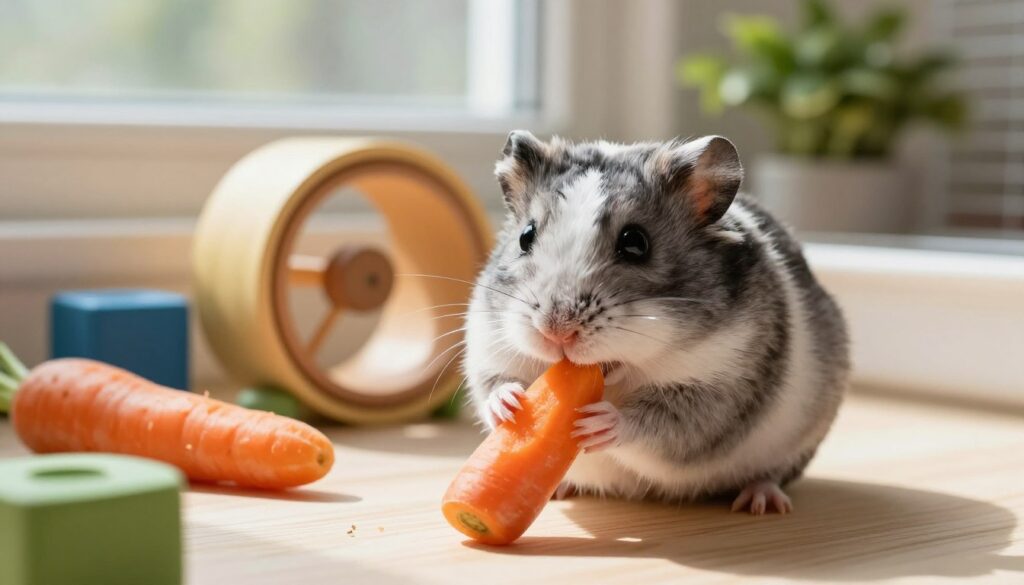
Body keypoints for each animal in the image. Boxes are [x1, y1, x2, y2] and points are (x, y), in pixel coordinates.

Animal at [463, 130, 849, 514]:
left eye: (636, 243)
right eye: (525, 236)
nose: (556, 330)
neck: (617, 379)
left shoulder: (717, 392)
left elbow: (654, 424)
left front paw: (598, 423)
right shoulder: (487, 351)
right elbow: (494, 384)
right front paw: (510, 406)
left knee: (776, 473)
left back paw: (762, 501)